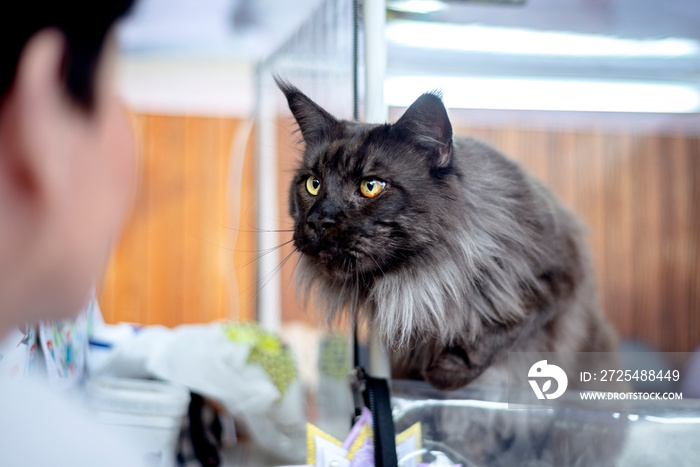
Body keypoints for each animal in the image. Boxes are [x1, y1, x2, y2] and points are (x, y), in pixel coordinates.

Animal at [276, 78, 620, 394]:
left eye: (370, 186)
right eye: (313, 184)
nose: (319, 221)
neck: (430, 279)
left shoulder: (558, 275)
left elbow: (507, 325)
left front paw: (447, 370)